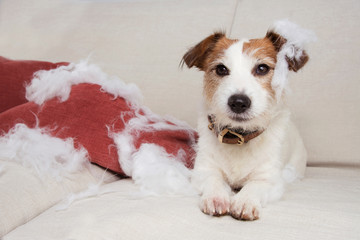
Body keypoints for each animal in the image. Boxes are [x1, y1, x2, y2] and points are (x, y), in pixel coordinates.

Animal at [181, 21, 314, 221]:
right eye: (221, 69)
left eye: (262, 68)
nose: (238, 102)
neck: (239, 137)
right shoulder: (203, 171)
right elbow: (214, 180)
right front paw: (216, 197)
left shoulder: (270, 180)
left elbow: (254, 185)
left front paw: (245, 201)